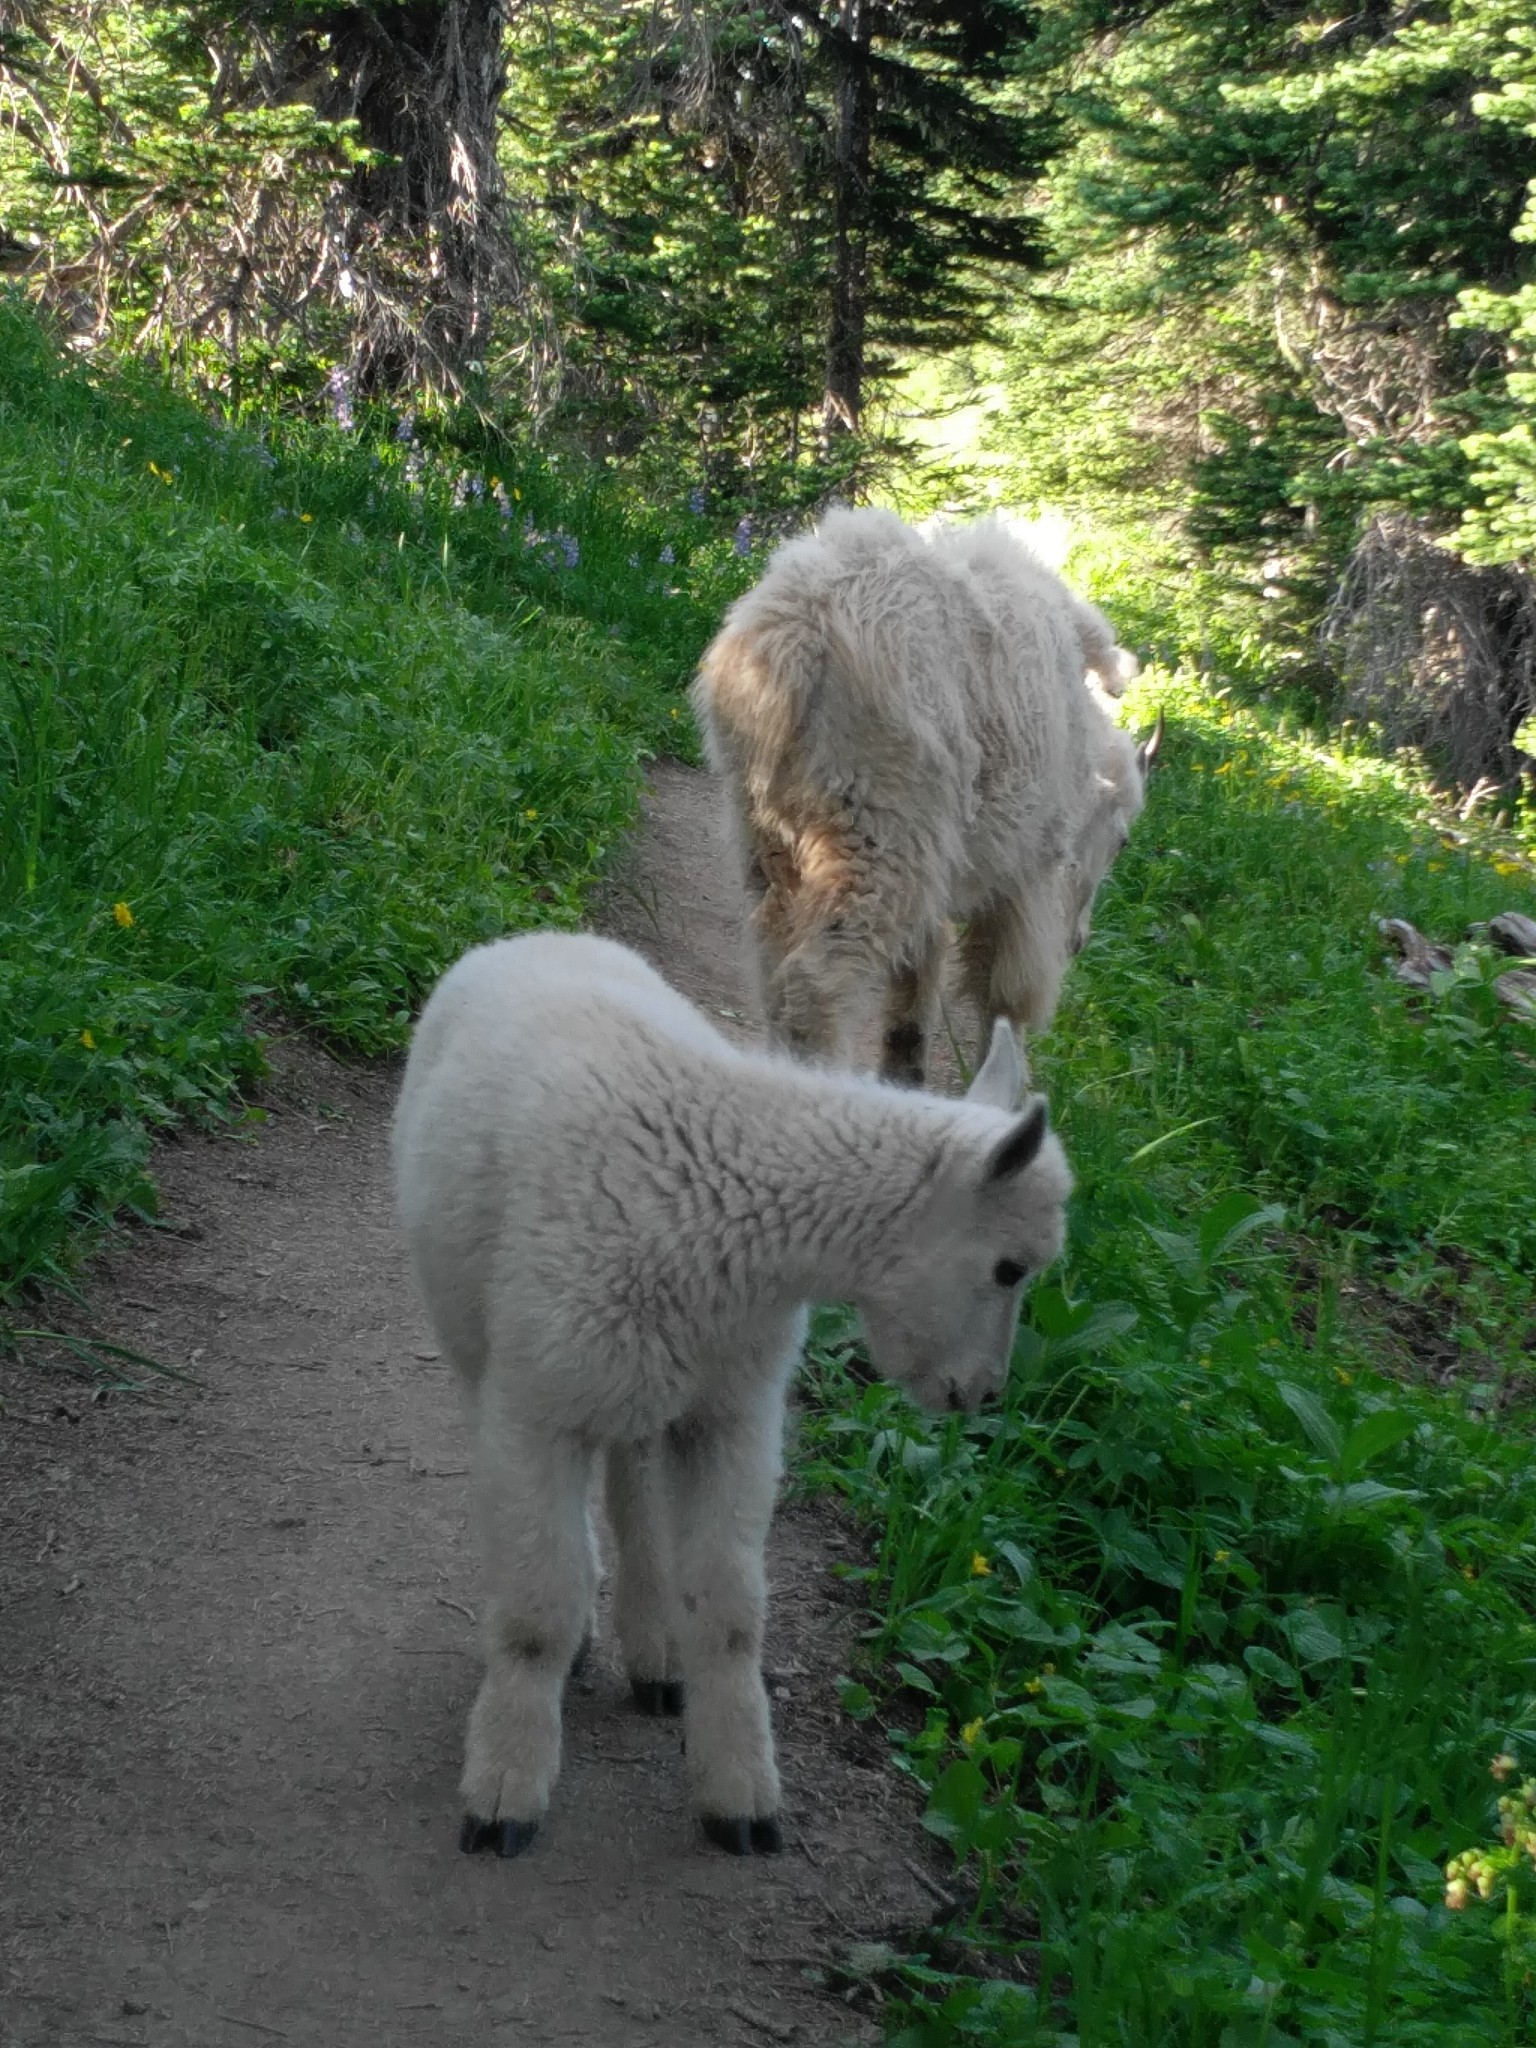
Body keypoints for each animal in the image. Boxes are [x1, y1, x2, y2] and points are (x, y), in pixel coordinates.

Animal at [397, 937, 1073, 1867]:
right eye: (1009, 1268)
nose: (980, 1393)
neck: (728, 1202)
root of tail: (540, 937)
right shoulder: (538, 1407)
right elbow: (536, 1610)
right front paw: (504, 1796)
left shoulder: (735, 1416)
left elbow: (728, 1612)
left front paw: (741, 1801)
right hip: (494, 1345)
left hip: (652, 1378)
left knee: (633, 1487)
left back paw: (656, 1657)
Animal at [692, 507, 1163, 1089]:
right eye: (1122, 841)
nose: (1078, 941)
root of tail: (790, 639)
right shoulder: (1029, 870)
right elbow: (1007, 991)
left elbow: (920, 966)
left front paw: (907, 1066)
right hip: (873, 829)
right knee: (819, 978)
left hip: (763, 825)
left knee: (772, 960)